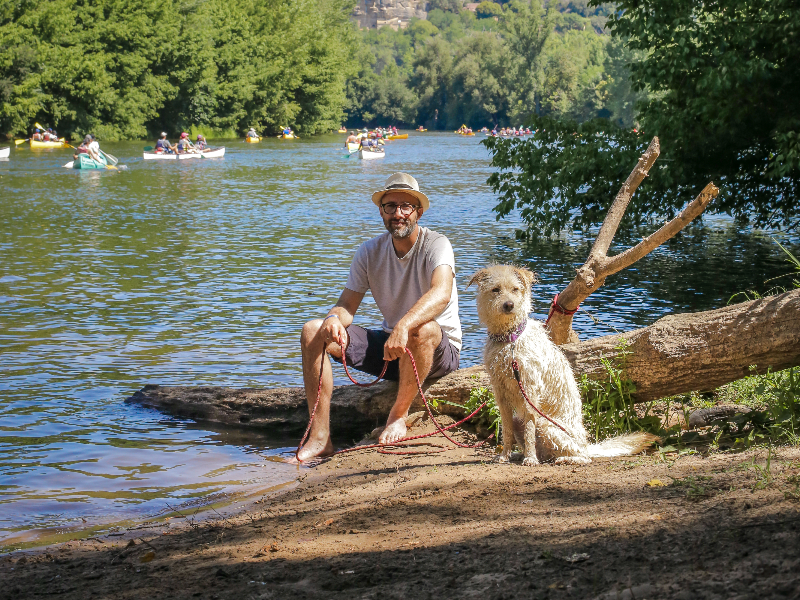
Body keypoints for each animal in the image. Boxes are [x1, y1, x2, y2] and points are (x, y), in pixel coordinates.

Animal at [468, 264, 656, 466]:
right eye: (495, 290)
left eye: (515, 289)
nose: (509, 305)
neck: (509, 339)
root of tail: (586, 445)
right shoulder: (500, 393)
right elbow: (506, 430)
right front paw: (504, 455)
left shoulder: (530, 392)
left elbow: (529, 431)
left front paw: (530, 459)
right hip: (523, 420)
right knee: (544, 452)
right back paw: (522, 455)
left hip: (547, 424)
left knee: (583, 457)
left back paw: (562, 459)